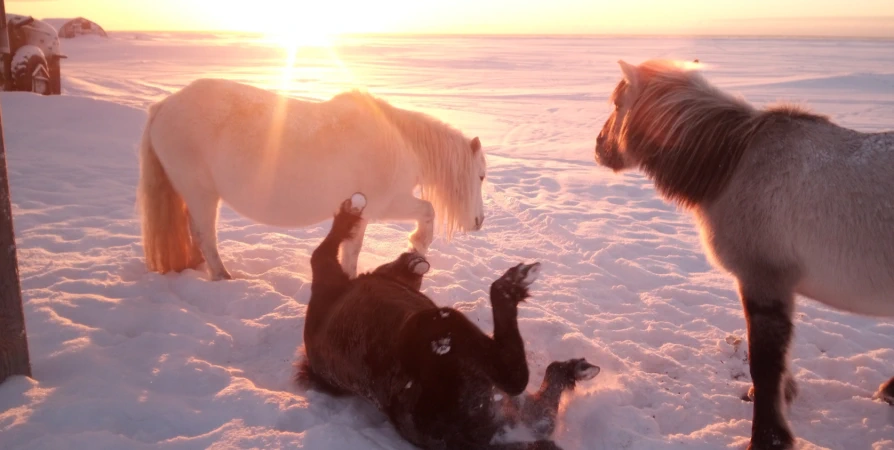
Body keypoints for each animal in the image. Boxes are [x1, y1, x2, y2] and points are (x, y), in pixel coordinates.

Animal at [136, 79, 486, 280]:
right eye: (481, 176)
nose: (480, 221)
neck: (399, 142)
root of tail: (164, 106)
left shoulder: (363, 212)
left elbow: (351, 249)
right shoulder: (387, 205)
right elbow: (427, 210)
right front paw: (418, 243)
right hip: (202, 194)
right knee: (204, 234)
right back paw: (222, 276)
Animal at [596, 59, 894, 450]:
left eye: (617, 104)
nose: (598, 146)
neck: (733, 165)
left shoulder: (761, 281)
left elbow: (764, 364)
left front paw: (767, 436)